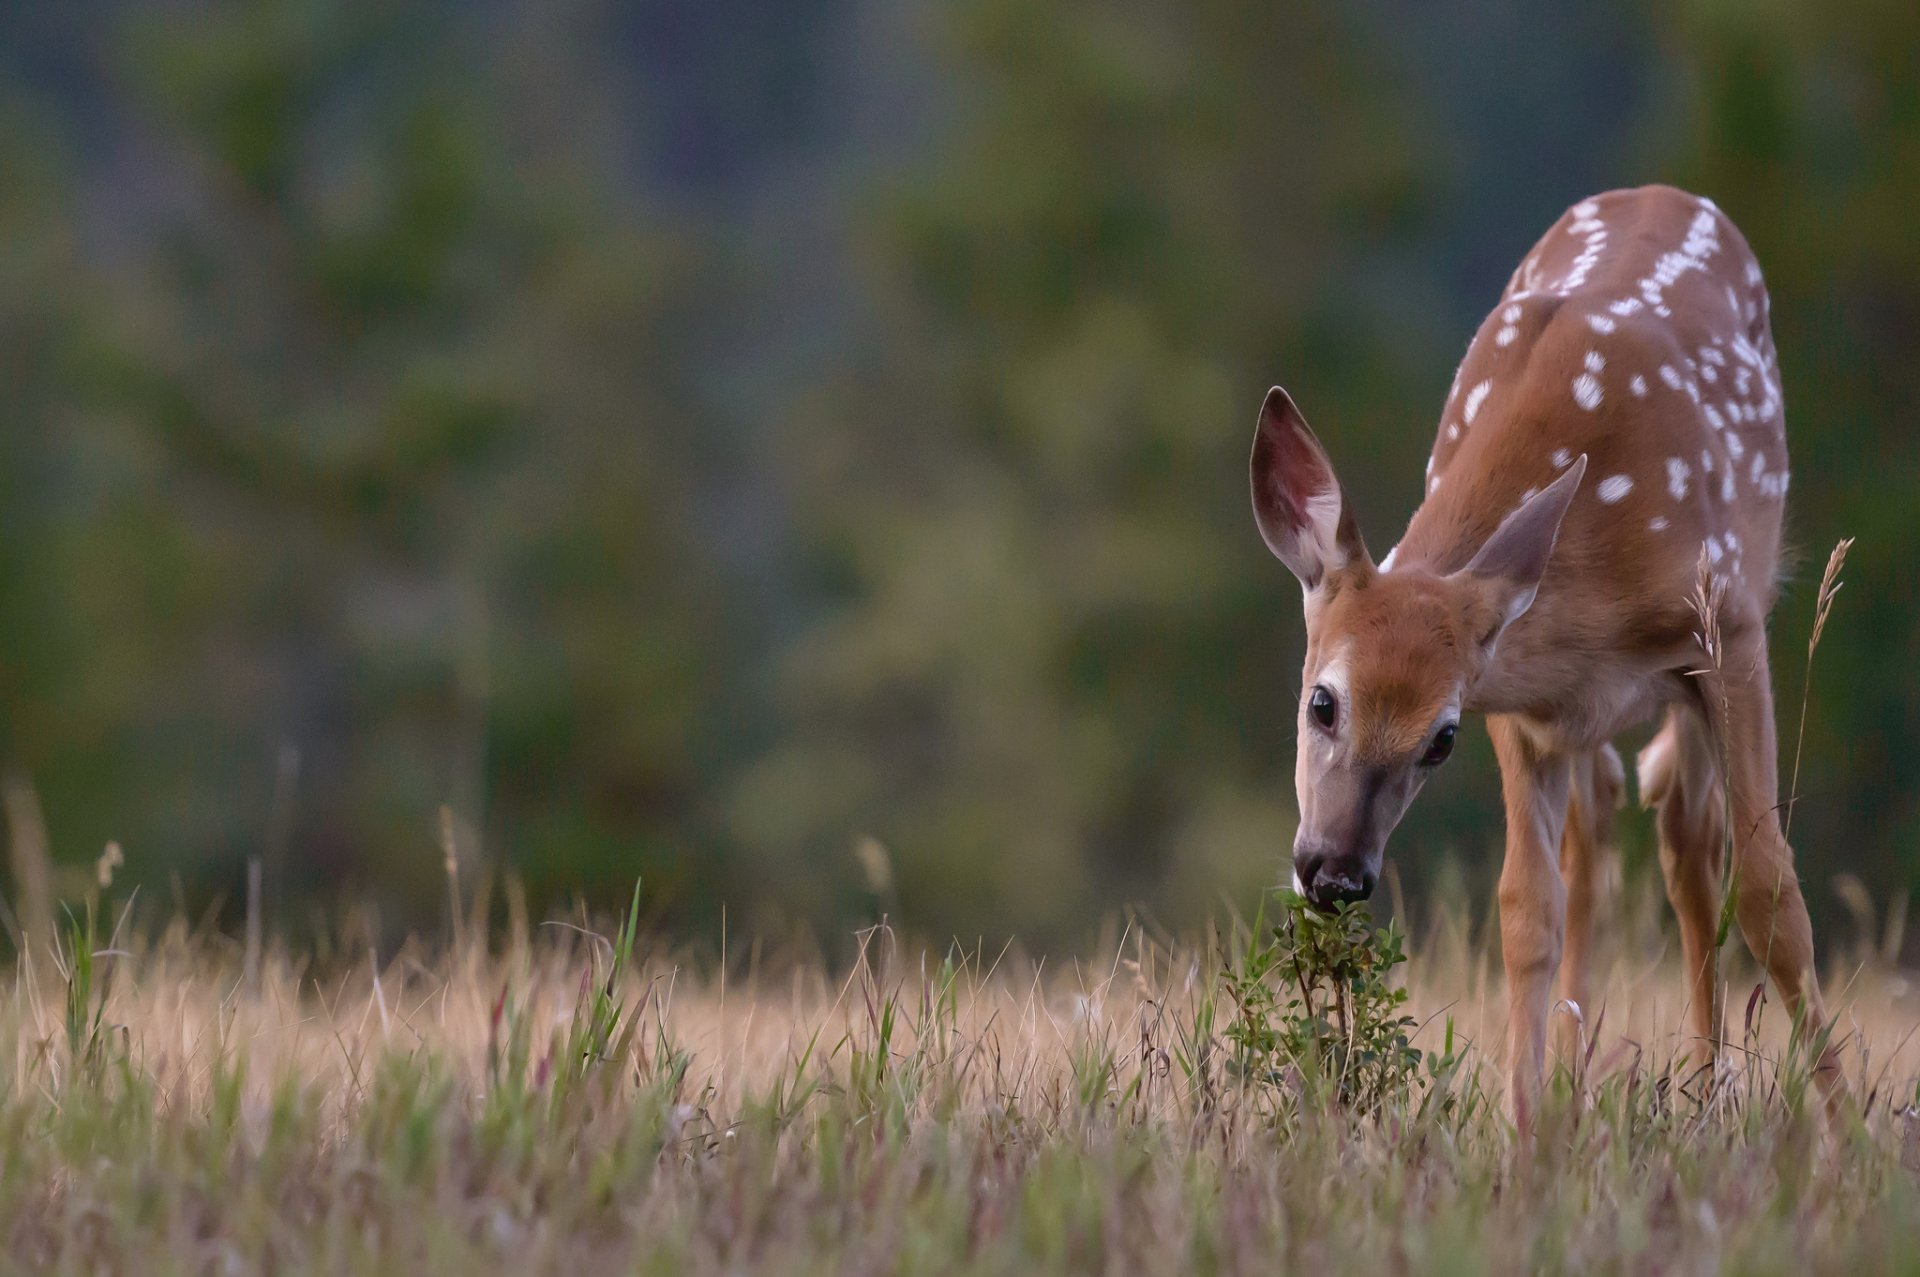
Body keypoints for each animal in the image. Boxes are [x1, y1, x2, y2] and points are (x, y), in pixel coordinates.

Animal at [1248, 184, 1841, 1131]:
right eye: (1322, 700)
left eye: (1440, 738)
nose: (1335, 872)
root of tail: (1662, 192)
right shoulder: (1520, 703)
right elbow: (1527, 910)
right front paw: (1528, 1129)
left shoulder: (1730, 627)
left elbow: (1771, 894)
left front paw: (1849, 1126)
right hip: (1584, 726)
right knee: (1609, 829)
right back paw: (1582, 1081)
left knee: (1690, 838)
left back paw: (1705, 1086)